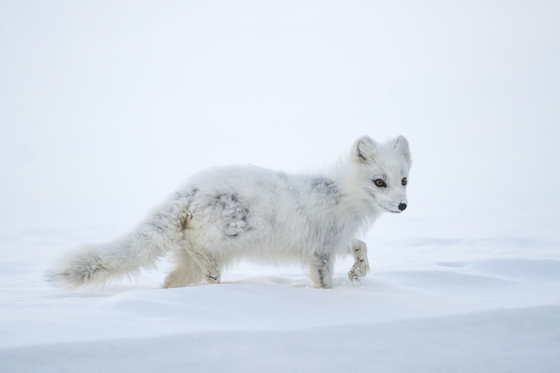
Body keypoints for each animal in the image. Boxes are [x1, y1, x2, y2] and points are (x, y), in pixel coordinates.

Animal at [49, 135, 412, 290]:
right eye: (379, 182)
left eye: (404, 180)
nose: (403, 206)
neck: (341, 195)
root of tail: (188, 189)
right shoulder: (320, 253)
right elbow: (324, 285)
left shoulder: (339, 240)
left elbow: (362, 246)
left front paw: (358, 274)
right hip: (229, 236)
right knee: (195, 248)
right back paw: (212, 274)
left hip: (191, 261)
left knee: (170, 280)